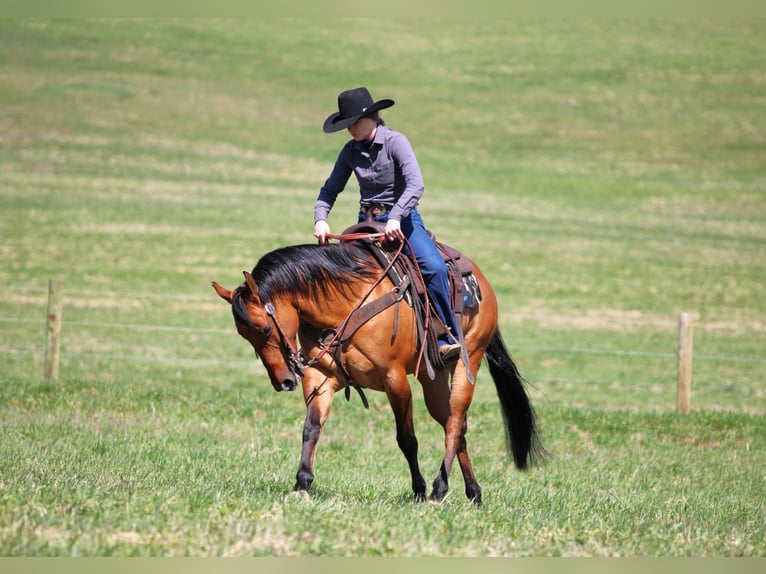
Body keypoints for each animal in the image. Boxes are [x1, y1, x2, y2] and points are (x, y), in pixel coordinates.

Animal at [212, 234, 542, 506]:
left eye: (266, 329)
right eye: (244, 335)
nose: (283, 381)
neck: (347, 305)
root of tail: (481, 281)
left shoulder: (395, 382)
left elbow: (407, 439)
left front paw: (419, 489)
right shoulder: (321, 379)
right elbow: (311, 428)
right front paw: (301, 484)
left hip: (467, 361)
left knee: (455, 424)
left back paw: (439, 490)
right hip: (433, 377)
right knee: (455, 425)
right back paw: (473, 493)